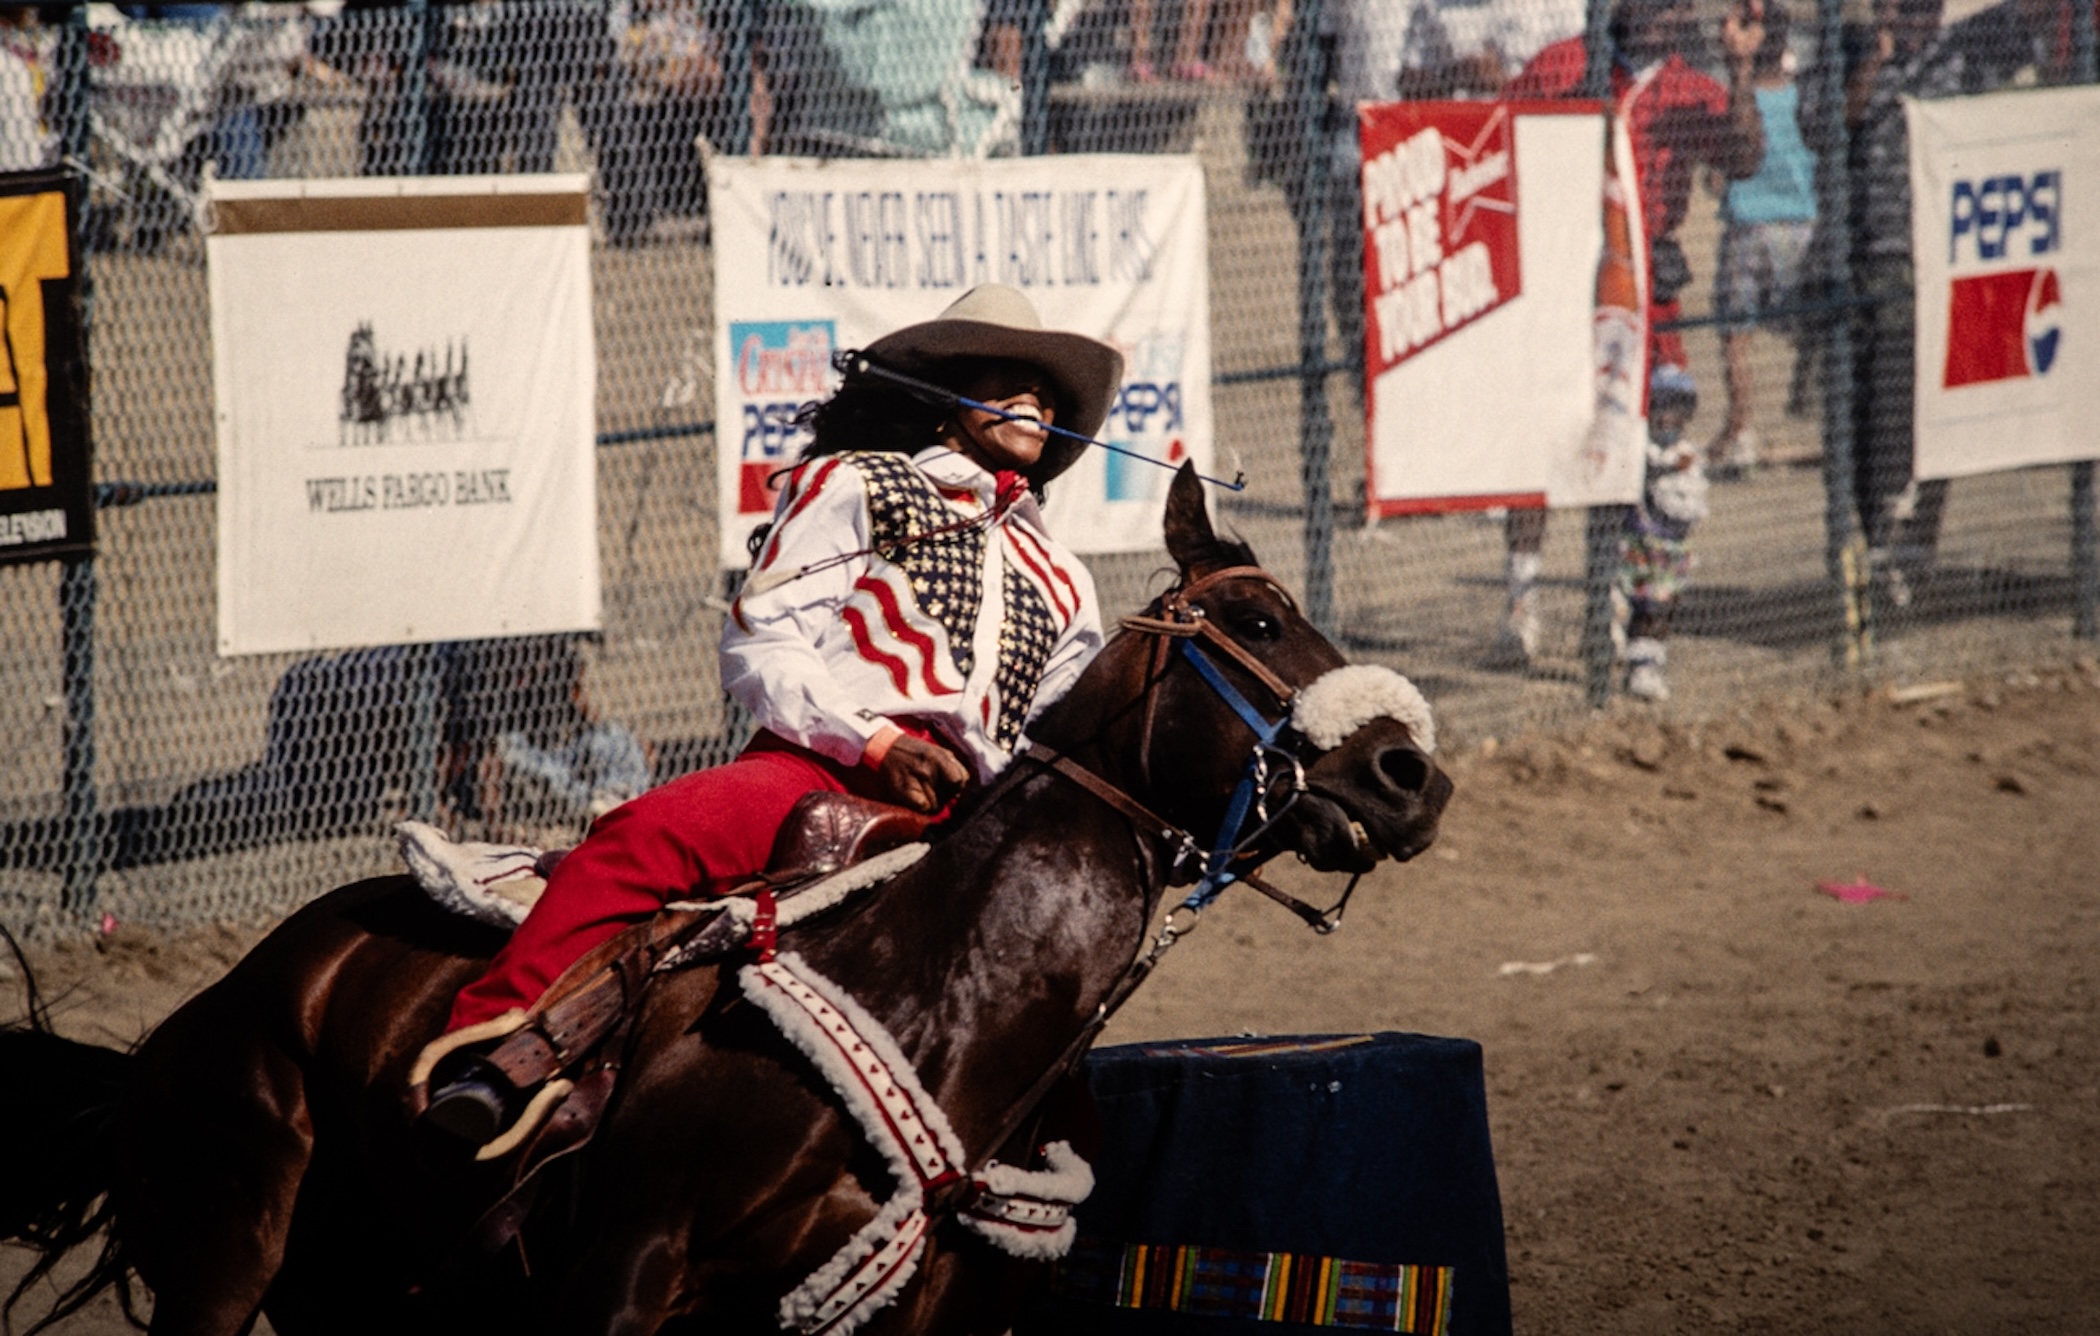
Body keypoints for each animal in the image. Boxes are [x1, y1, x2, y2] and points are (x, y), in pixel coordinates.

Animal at [0, 464, 1444, 1327]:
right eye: (1255, 623)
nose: (1410, 774)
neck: (934, 994)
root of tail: (228, 1000)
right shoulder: (625, 1274)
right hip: (225, 1252)